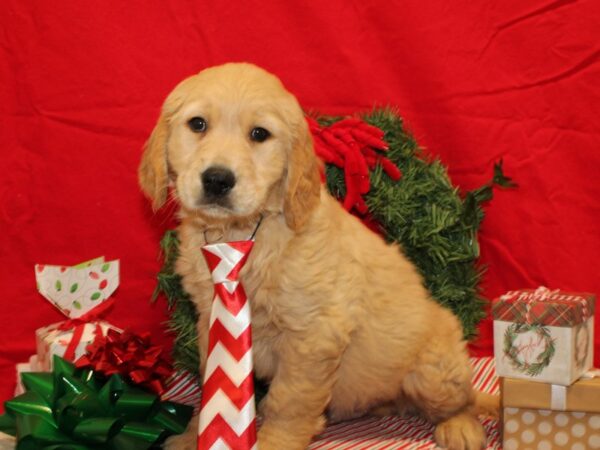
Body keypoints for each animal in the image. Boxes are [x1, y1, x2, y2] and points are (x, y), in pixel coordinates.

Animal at [141, 63, 496, 450]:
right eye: (198, 124)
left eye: (259, 134)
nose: (218, 180)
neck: (243, 235)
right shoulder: (210, 317)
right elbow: (211, 381)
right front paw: (193, 436)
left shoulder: (314, 334)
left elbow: (288, 400)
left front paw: (274, 442)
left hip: (434, 370)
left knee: (463, 402)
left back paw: (459, 426)